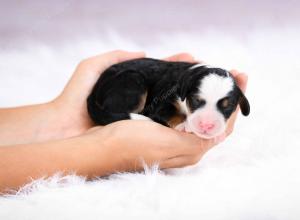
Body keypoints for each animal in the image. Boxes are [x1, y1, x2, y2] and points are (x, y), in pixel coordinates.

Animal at [87, 57, 251, 138]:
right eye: (196, 101)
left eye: (227, 107)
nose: (206, 125)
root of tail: (93, 91)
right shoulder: (161, 102)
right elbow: (170, 113)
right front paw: (184, 125)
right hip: (132, 80)